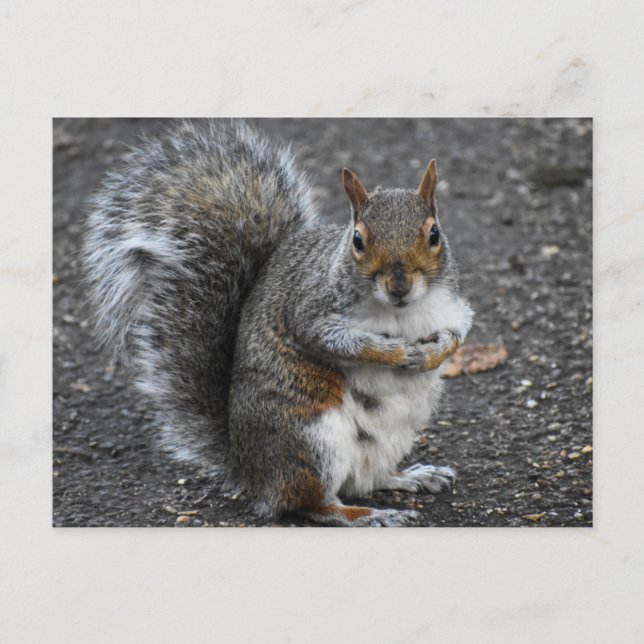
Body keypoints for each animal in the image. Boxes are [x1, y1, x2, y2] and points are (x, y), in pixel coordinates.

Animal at [84, 120, 474, 526]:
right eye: (357, 240)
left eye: (434, 233)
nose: (399, 287)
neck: (399, 311)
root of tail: (250, 471)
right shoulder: (308, 311)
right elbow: (335, 341)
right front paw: (394, 352)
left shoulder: (452, 304)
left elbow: (461, 331)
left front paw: (434, 354)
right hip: (311, 437)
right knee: (313, 502)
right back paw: (367, 515)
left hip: (386, 439)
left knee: (365, 479)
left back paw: (412, 476)